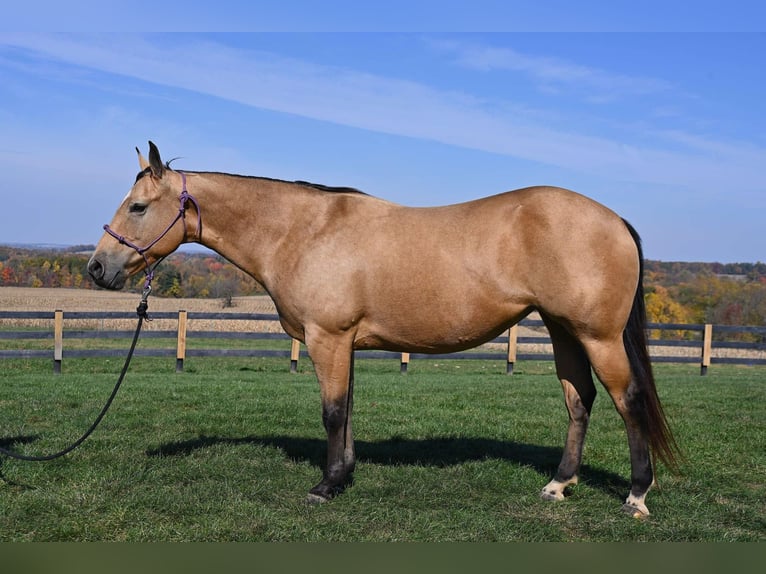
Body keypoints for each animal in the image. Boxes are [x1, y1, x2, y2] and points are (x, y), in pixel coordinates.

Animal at [87, 141, 680, 516]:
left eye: (138, 206)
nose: (96, 268)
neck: (303, 231)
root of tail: (613, 219)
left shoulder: (328, 338)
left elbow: (331, 412)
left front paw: (325, 487)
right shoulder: (345, 342)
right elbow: (347, 410)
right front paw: (344, 475)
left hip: (598, 336)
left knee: (628, 400)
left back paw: (636, 494)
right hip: (562, 331)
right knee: (579, 400)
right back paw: (558, 485)